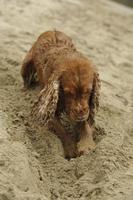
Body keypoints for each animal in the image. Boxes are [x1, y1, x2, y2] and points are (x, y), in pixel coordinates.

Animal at [20, 30, 100, 159]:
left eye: (88, 91)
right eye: (68, 93)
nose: (80, 112)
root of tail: (52, 30)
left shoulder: (85, 109)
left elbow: (85, 125)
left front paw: (86, 145)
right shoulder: (50, 106)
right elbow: (62, 130)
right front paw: (70, 149)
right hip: (26, 65)